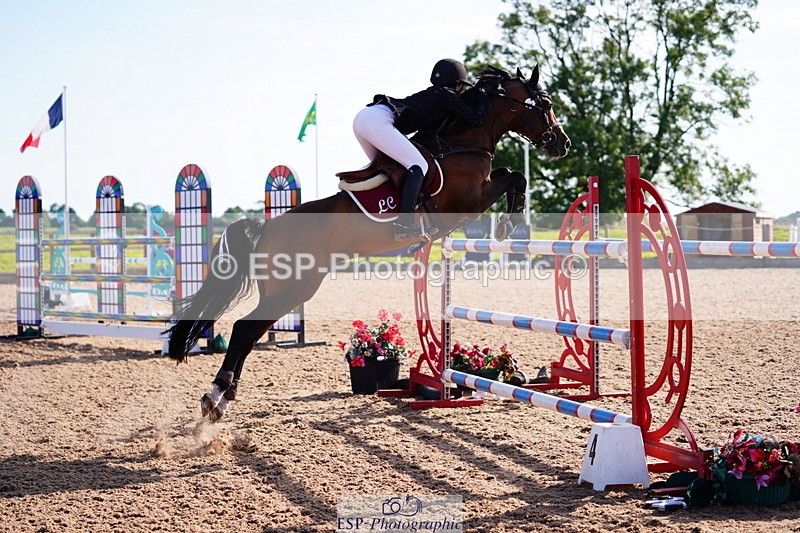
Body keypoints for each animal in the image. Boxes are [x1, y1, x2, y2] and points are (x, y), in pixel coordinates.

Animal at [166, 65, 571, 422]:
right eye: (545, 103)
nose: (562, 144)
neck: (462, 141)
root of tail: (268, 228)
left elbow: (509, 173)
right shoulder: (470, 199)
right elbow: (514, 176)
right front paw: (510, 221)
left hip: (282, 291)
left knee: (247, 334)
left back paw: (221, 398)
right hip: (294, 289)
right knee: (242, 330)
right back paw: (217, 396)